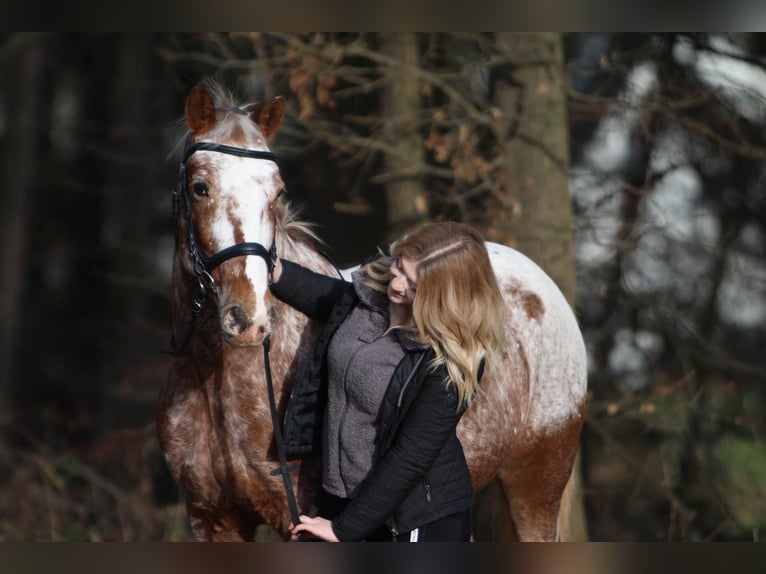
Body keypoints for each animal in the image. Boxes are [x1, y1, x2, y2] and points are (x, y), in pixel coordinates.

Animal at [157, 80, 588, 542]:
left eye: (276, 193)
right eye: (200, 187)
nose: (248, 319)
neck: (219, 382)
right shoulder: (215, 522)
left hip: (534, 493)